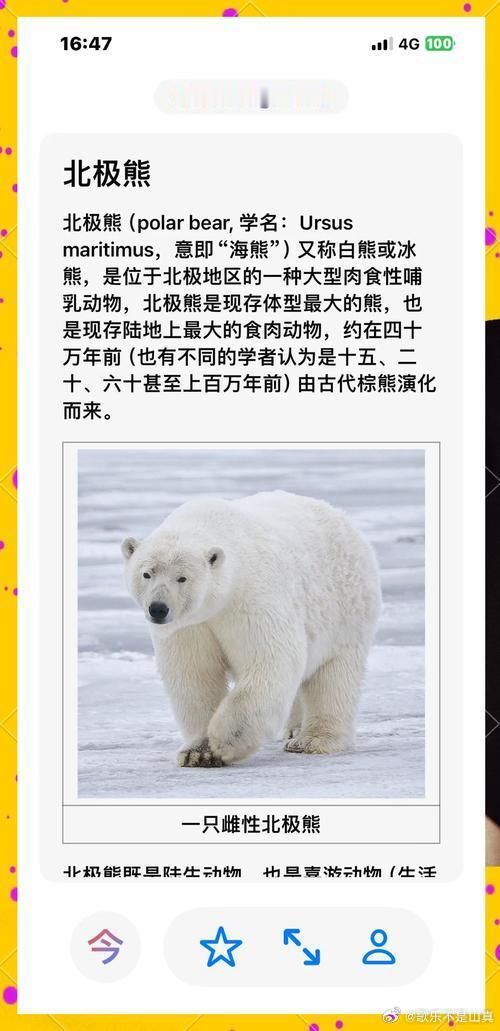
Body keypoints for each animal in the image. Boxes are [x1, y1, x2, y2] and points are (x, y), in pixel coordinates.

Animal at [121, 490, 381, 768]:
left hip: (345, 611)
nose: (158, 609)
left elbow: (270, 659)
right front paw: (198, 753)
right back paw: (294, 729)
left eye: (182, 578)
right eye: (147, 573)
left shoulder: (251, 598)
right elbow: (194, 674)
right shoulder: (190, 626)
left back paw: (312, 740)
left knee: (334, 676)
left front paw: (225, 742)